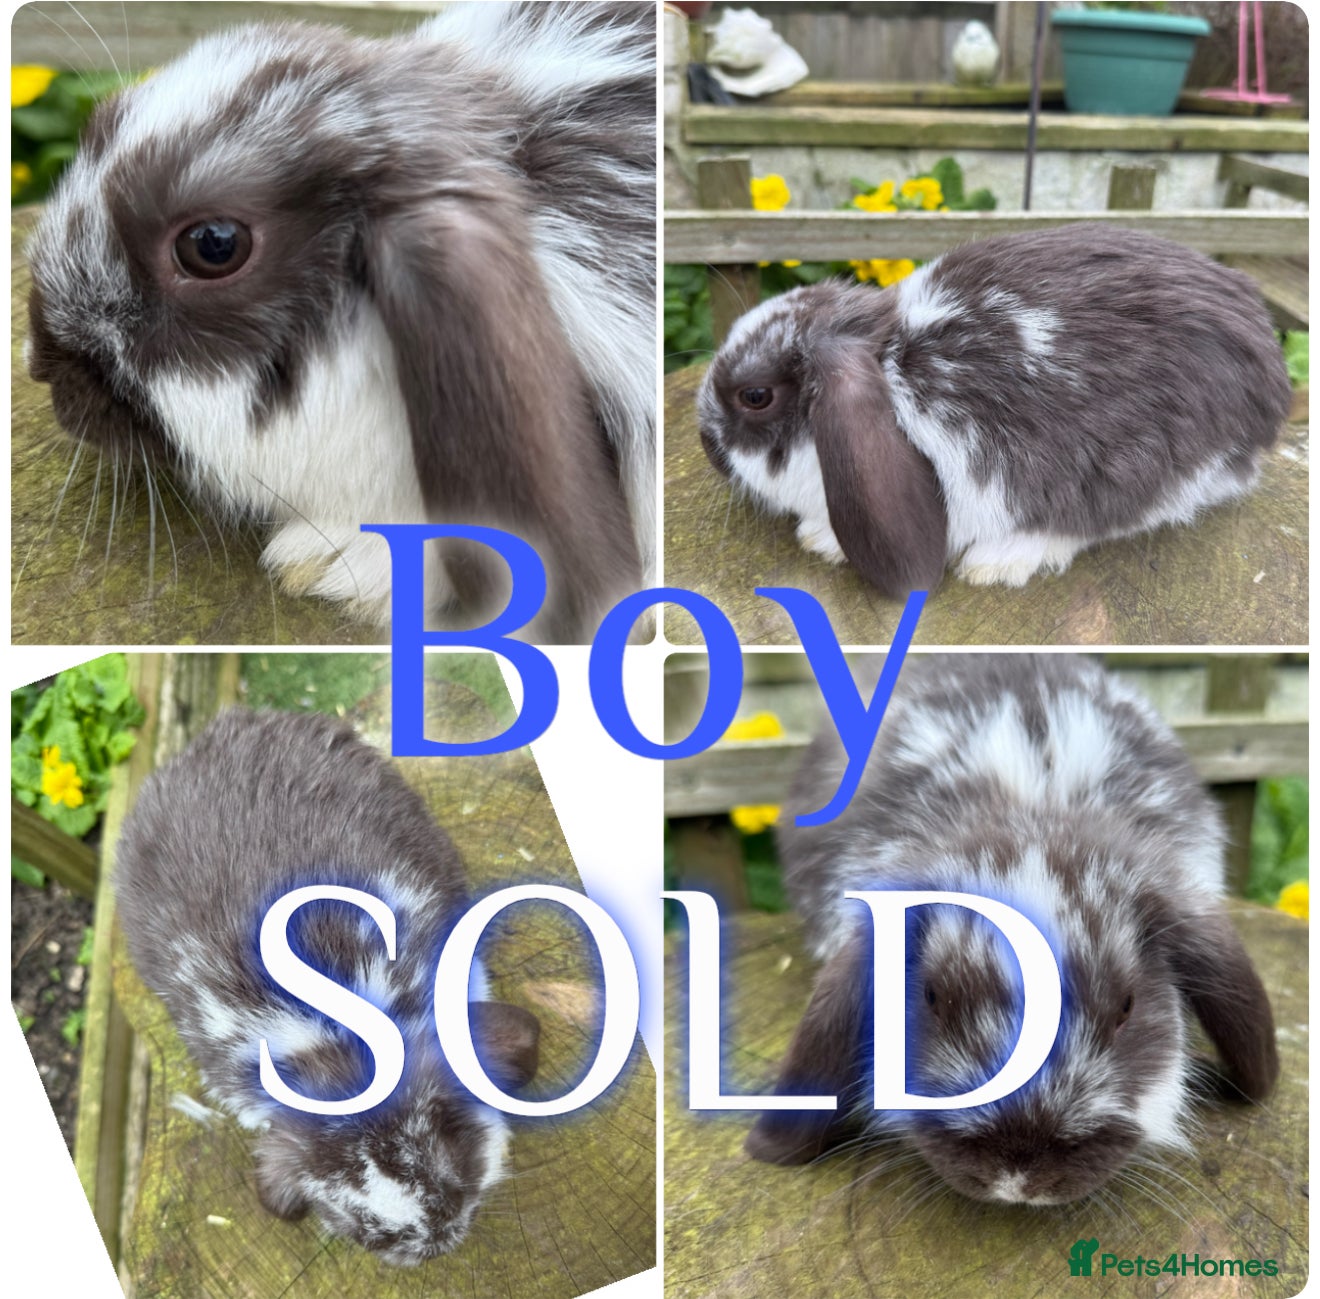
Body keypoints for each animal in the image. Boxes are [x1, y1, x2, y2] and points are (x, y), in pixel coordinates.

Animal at [697, 224, 1291, 599]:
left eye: (756, 396)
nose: (708, 447)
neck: (892, 366)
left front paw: (821, 539)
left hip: (1136, 468)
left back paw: (1001, 560)